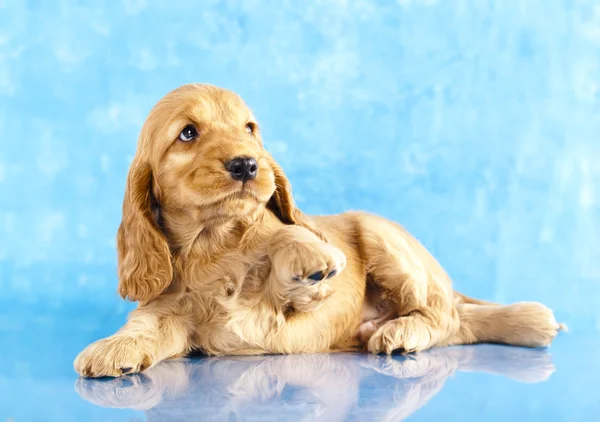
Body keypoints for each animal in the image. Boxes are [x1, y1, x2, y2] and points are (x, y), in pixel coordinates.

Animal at [74, 84, 564, 378]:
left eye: (249, 129)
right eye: (188, 133)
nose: (248, 164)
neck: (211, 244)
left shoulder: (286, 307)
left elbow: (280, 239)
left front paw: (309, 256)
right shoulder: (168, 311)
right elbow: (144, 329)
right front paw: (111, 349)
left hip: (386, 242)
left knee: (447, 318)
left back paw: (402, 332)